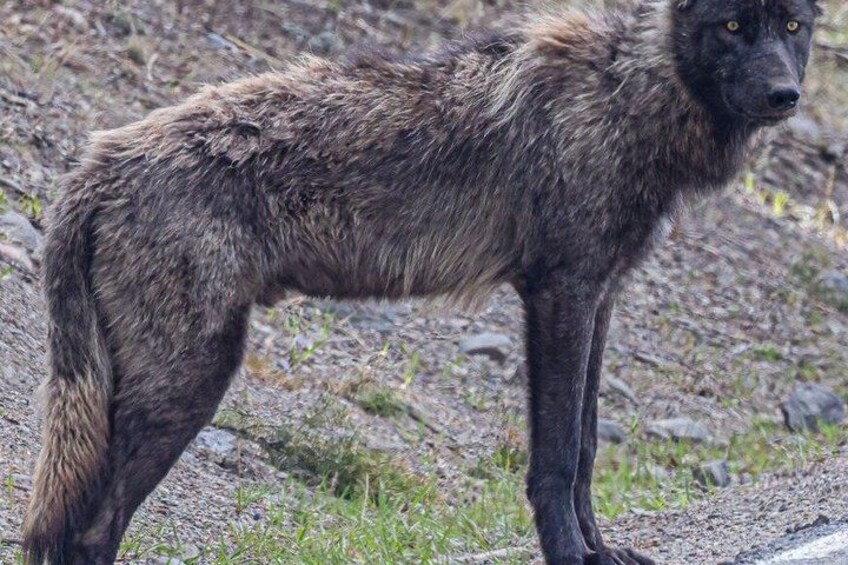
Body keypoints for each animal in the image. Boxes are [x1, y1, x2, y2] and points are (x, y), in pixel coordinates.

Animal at [22, 0, 819, 563]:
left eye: (791, 24)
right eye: (733, 25)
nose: (786, 95)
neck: (627, 93)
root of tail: (94, 163)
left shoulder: (601, 299)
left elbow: (588, 448)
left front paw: (601, 551)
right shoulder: (560, 295)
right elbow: (558, 455)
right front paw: (570, 555)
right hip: (187, 384)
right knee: (88, 533)